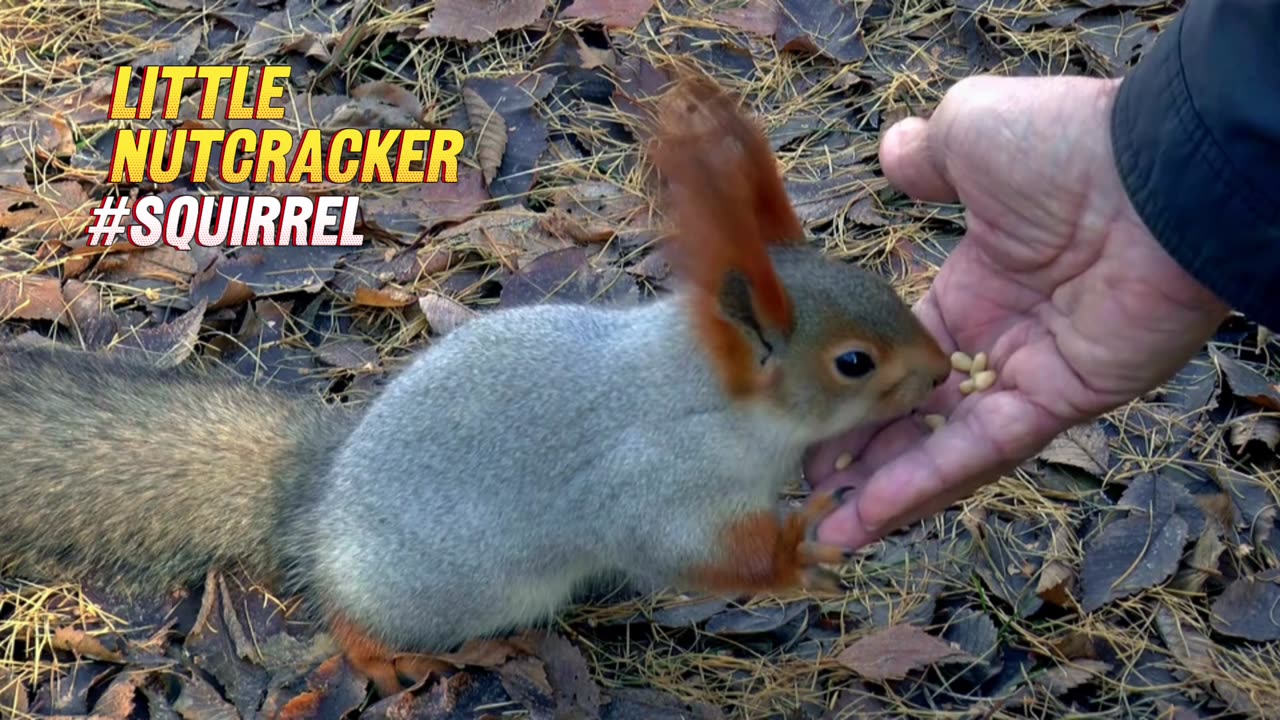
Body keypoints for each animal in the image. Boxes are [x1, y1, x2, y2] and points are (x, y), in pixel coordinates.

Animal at [0, 71, 952, 691]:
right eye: (854, 362)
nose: (944, 372)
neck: (713, 401)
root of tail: (317, 503)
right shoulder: (649, 482)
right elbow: (683, 552)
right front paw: (797, 553)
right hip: (441, 589)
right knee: (352, 621)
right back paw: (396, 657)